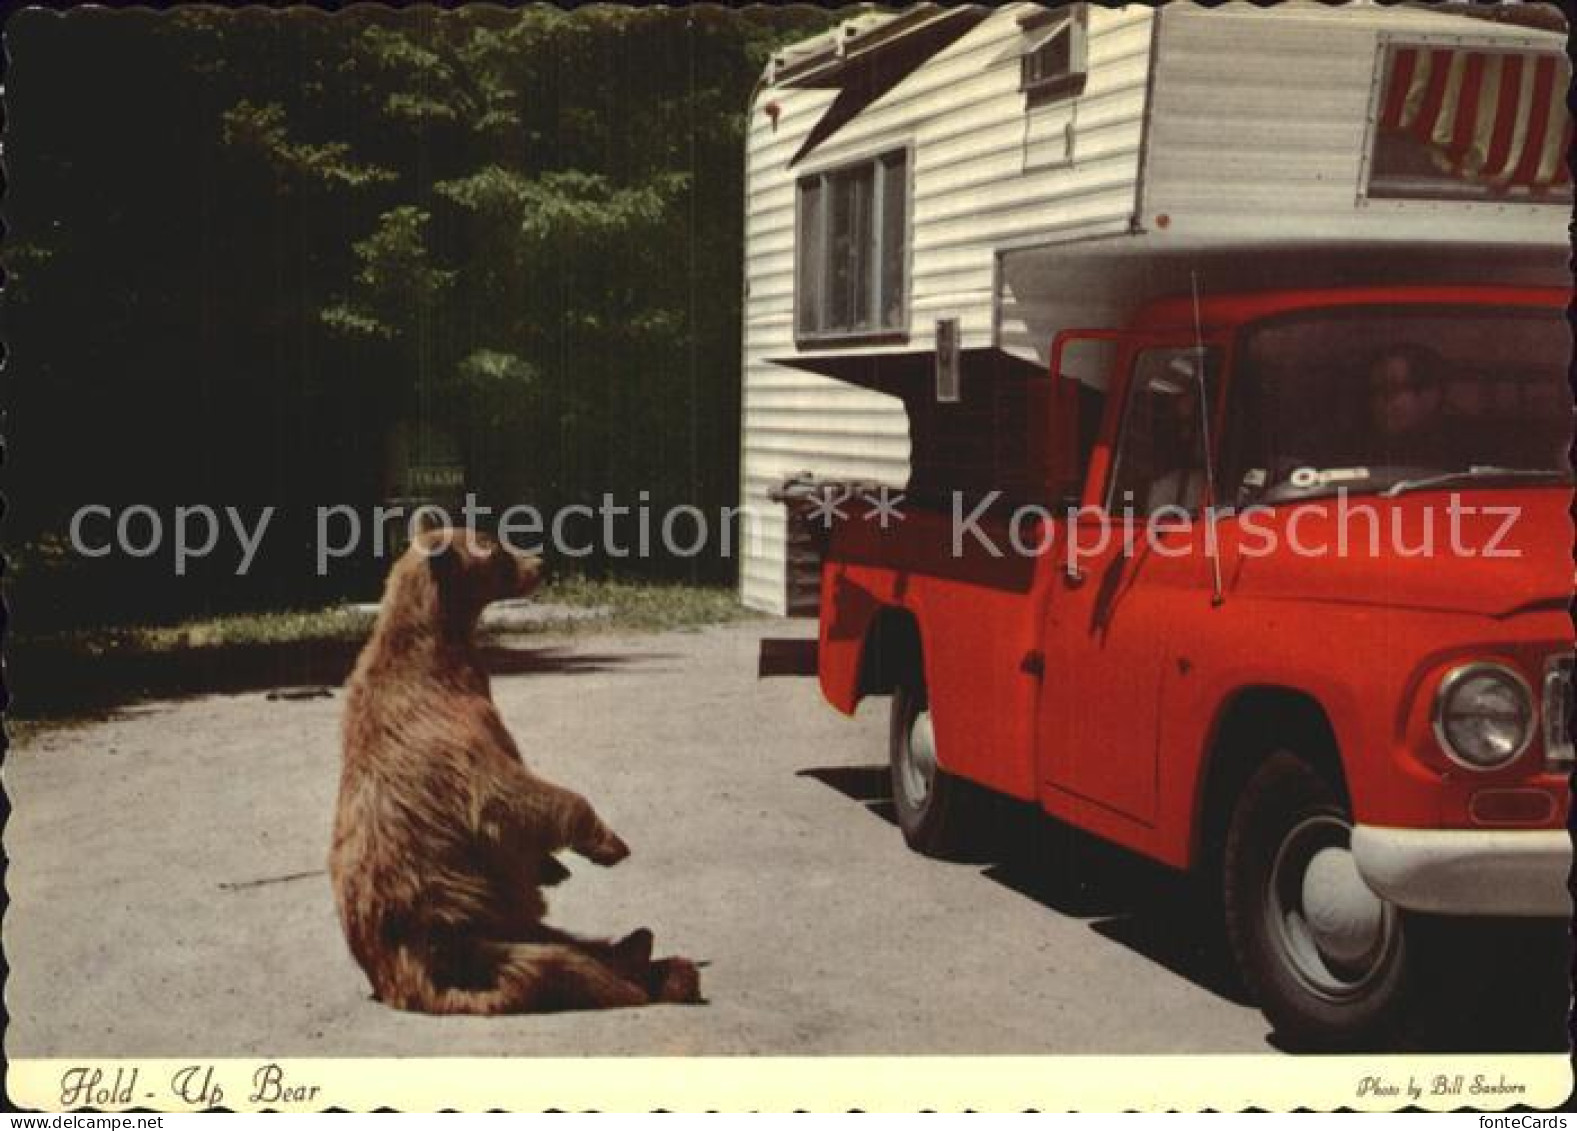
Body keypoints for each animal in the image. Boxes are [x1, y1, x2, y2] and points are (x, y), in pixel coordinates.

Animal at [329, 523, 700, 1009]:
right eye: (497, 549)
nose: (541, 561)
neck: (440, 651)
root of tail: (396, 977)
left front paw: (553, 866)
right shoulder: (460, 736)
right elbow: (507, 794)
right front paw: (606, 843)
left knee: (565, 943)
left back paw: (648, 951)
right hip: (459, 928)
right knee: (554, 962)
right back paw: (646, 973)